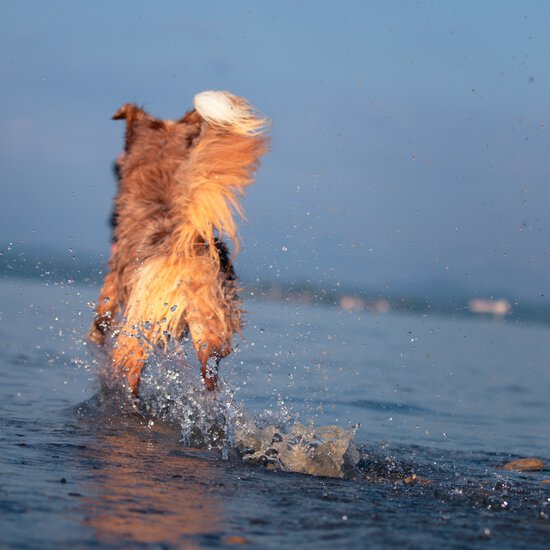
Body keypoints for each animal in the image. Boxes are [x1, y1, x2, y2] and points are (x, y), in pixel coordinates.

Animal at [89, 92, 270, 398]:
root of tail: (187, 245)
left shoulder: (114, 277)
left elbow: (102, 315)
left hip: (141, 323)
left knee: (129, 368)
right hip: (211, 321)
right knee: (211, 364)